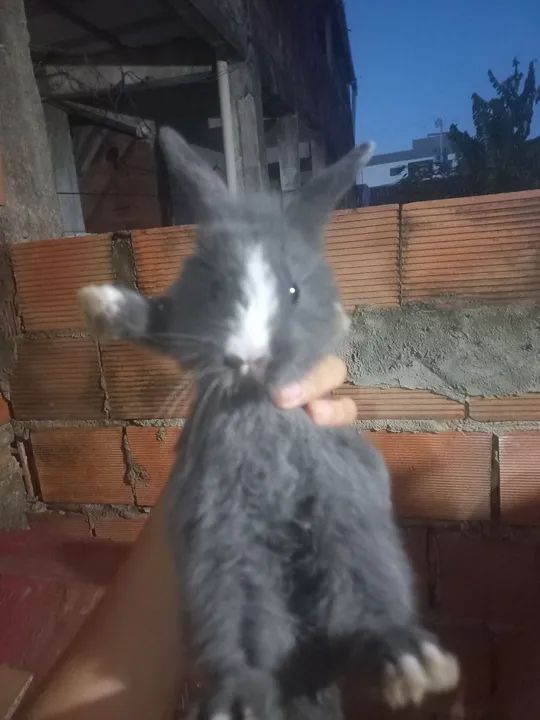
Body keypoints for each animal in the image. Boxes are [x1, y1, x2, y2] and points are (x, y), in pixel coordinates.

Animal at [78, 127, 459, 720]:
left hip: (349, 524)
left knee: (370, 608)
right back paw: (237, 699)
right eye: (216, 291)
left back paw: (413, 662)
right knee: (242, 640)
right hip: (222, 548)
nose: (249, 358)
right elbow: (161, 322)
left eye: (294, 292)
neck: (256, 399)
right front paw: (103, 303)